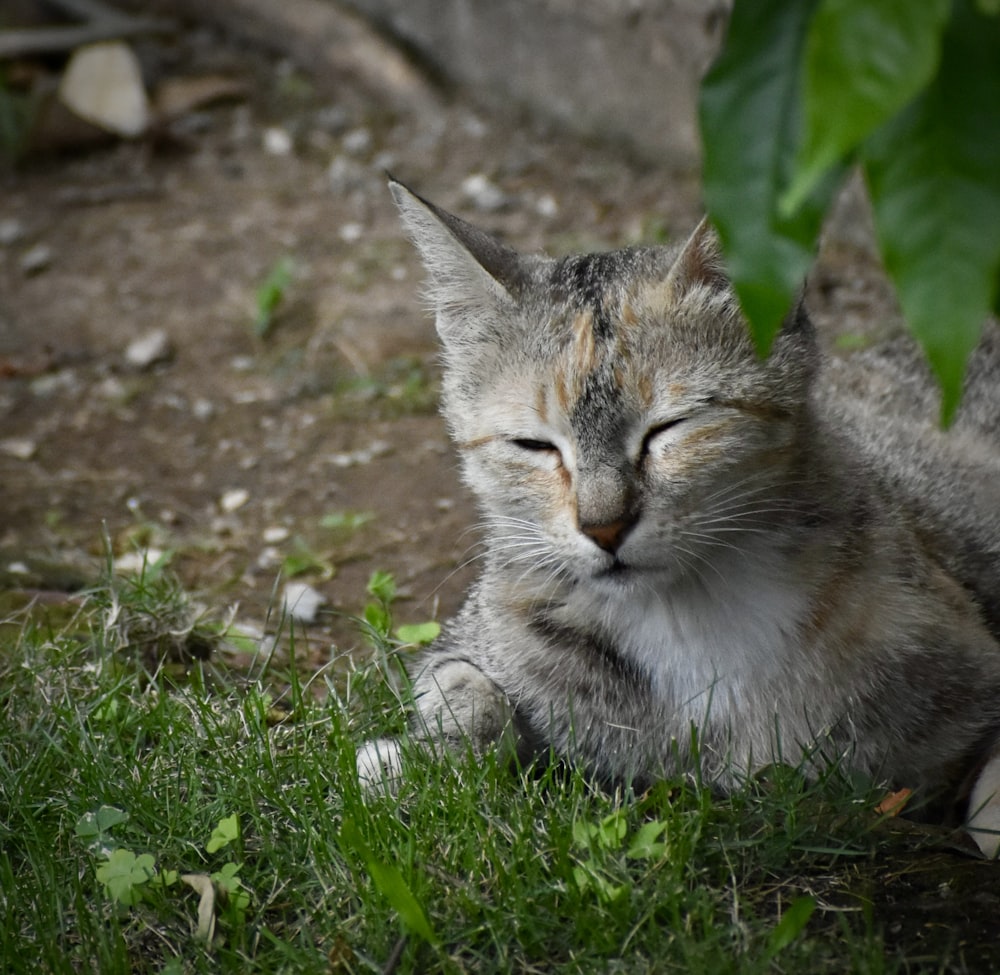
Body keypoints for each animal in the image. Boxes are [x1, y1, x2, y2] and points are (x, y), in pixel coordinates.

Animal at [358, 179, 1000, 856]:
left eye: (670, 428)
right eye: (533, 445)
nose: (603, 526)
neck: (685, 617)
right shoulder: (475, 639)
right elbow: (463, 691)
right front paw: (412, 760)